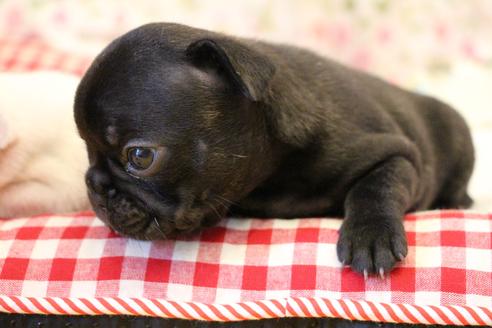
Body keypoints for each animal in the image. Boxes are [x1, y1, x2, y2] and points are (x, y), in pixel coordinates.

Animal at [75, 23, 474, 276]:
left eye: (139, 157)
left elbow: (374, 188)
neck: (273, 170)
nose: (95, 184)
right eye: (87, 151)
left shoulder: (398, 155)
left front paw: (371, 236)